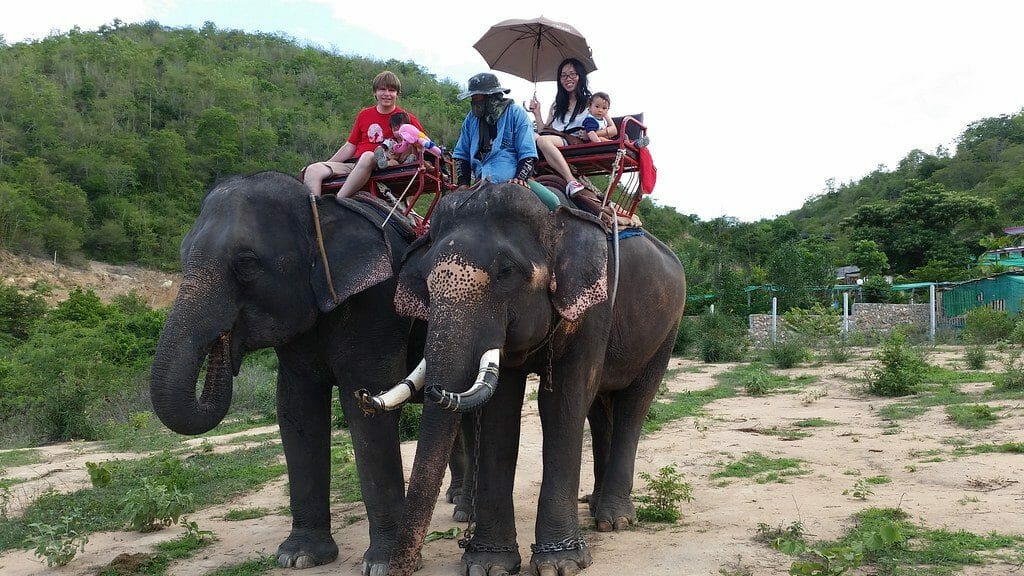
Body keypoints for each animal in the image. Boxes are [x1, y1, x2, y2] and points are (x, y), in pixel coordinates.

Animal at [149, 171, 458, 575]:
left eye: (246, 263)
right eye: (182, 256)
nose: (224, 342)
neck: (319, 214)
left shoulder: (379, 304)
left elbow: (366, 402)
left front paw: (382, 564)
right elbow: (296, 409)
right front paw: (299, 558)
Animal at [381, 183, 687, 576]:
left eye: (507, 271)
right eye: (426, 282)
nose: (403, 566)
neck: (551, 215)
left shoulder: (594, 310)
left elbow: (562, 402)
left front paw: (561, 564)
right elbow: (501, 409)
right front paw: (488, 565)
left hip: (668, 328)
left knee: (634, 403)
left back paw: (615, 520)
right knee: (600, 408)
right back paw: (595, 505)